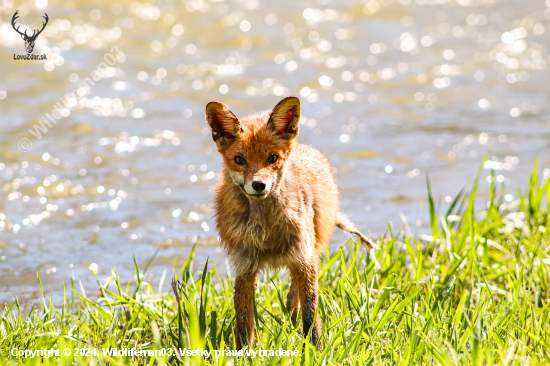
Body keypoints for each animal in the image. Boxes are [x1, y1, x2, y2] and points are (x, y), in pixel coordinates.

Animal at [205, 95, 378, 348]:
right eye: (239, 160)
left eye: (272, 158)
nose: (259, 185)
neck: (267, 232)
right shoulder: (245, 267)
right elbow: (245, 321)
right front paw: (245, 352)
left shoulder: (304, 258)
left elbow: (310, 312)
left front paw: (315, 349)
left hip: (307, 252)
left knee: (292, 298)